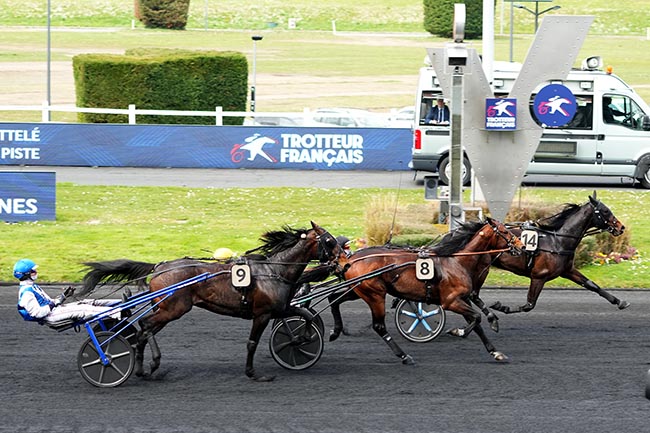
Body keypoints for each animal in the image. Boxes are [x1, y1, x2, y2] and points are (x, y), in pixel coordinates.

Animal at [79, 223, 344, 382]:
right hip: (173, 308)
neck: (273, 271)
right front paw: (253, 373)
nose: (343, 260)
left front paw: (301, 338)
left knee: (145, 328)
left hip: (166, 308)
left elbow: (305, 315)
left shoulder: (278, 309)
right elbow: (252, 343)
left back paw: (145, 368)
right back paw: (148, 364)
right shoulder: (262, 314)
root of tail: (160, 266)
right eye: (330, 241)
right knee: (145, 326)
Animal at [326, 218, 520, 362]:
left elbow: (477, 323)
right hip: (374, 294)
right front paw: (458, 331)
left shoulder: (462, 299)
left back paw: (335, 331)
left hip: (357, 290)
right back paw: (404, 356)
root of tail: (350, 259)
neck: (456, 262)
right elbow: (477, 318)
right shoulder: (451, 301)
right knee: (379, 326)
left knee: (333, 299)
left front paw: (495, 352)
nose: (521, 246)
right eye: (505, 232)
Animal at [488, 192, 624, 314]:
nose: (621, 227)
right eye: (605, 211)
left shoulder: (567, 270)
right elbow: (529, 305)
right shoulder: (538, 276)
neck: (558, 242)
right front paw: (501, 307)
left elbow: (591, 285)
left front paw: (619, 301)